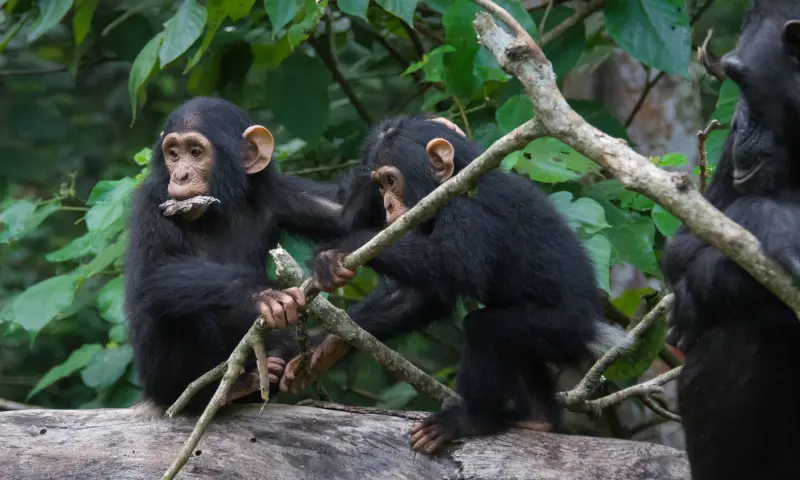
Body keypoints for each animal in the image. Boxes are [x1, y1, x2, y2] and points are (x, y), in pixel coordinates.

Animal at [125, 96, 350, 412]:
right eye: (173, 153)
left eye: (195, 152)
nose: (180, 175)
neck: (218, 209)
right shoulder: (151, 203)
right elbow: (151, 274)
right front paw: (258, 292)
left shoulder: (280, 193)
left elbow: (347, 213)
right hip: (161, 385)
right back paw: (231, 387)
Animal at [296, 116, 624, 454]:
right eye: (378, 186)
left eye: (390, 181)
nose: (386, 205)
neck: (452, 181)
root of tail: (592, 324)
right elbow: (426, 296)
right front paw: (325, 342)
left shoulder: (467, 209)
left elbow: (453, 267)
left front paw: (340, 248)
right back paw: (539, 419)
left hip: (559, 327)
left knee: (484, 330)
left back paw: (470, 420)